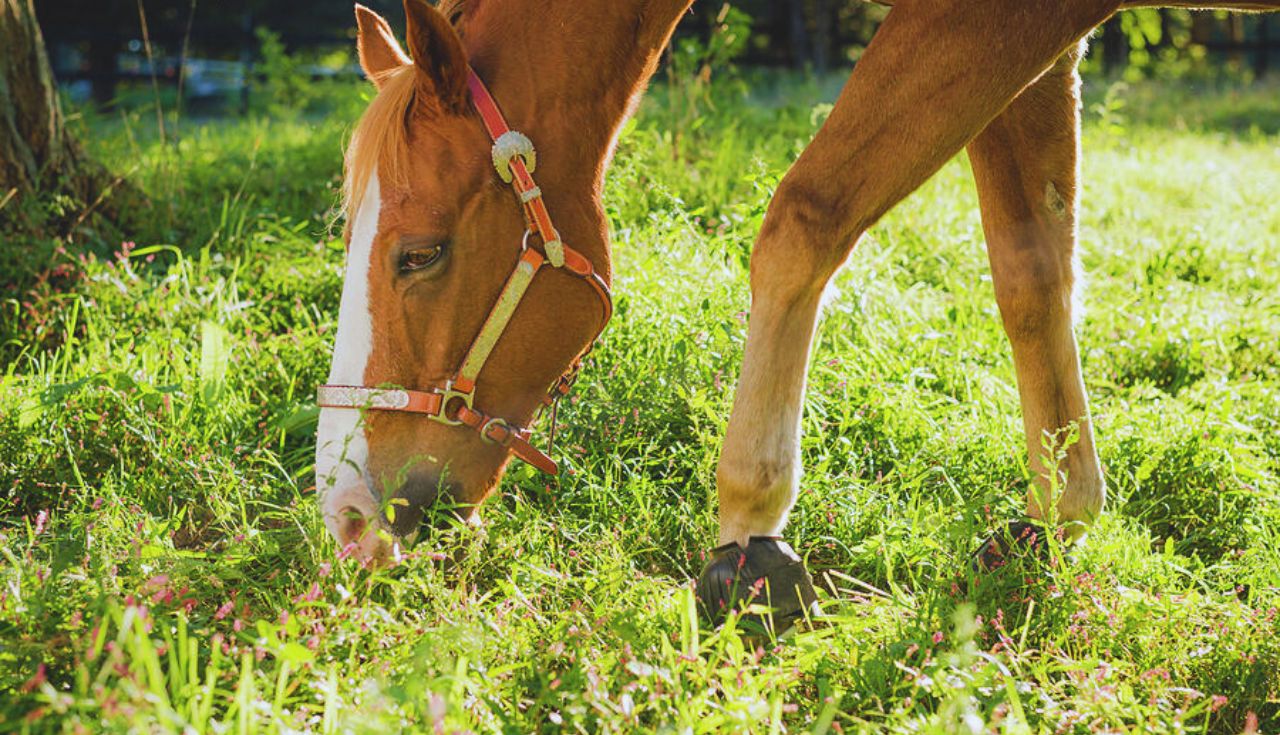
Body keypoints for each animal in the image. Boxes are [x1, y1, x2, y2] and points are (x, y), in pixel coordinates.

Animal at [312, 0, 1280, 627]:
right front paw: (1058, 516)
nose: (347, 511)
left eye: (421, 253)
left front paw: (749, 533)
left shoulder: (995, 18)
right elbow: (1031, 274)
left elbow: (803, 216)